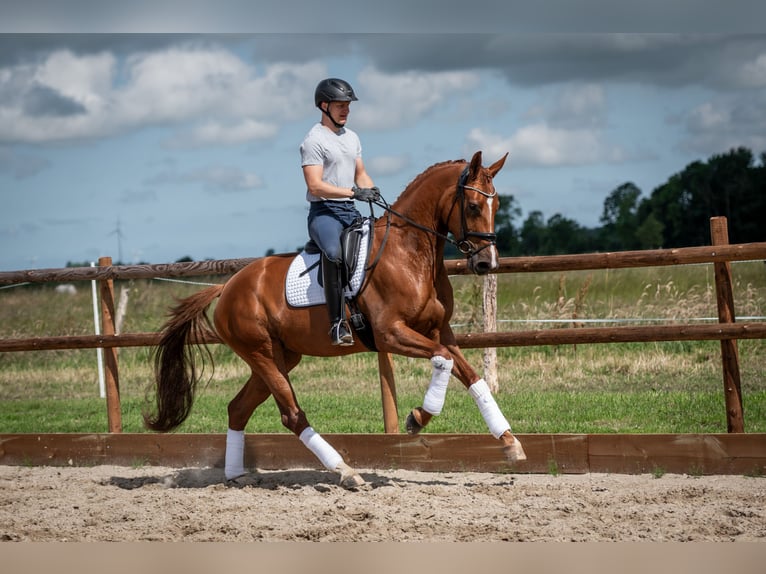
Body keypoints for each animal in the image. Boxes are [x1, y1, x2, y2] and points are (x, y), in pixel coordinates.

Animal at [144, 150, 526, 488]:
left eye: (497, 206)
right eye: (473, 206)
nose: (487, 263)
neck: (410, 253)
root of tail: (228, 286)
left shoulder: (439, 331)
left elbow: (471, 375)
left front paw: (509, 442)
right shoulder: (391, 334)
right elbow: (444, 361)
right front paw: (417, 417)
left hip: (280, 357)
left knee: (238, 409)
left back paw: (236, 475)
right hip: (261, 352)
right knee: (292, 415)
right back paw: (346, 472)